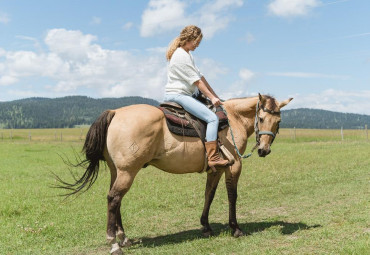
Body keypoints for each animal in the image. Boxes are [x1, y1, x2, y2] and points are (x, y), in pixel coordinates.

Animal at [57, 93, 292, 255]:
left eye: (278, 122)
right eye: (260, 119)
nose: (263, 150)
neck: (233, 120)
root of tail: (115, 113)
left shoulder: (216, 168)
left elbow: (209, 194)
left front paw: (206, 226)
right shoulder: (233, 166)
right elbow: (232, 196)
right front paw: (235, 229)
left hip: (118, 171)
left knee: (116, 200)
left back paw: (123, 238)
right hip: (127, 172)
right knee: (114, 199)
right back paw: (115, 244)